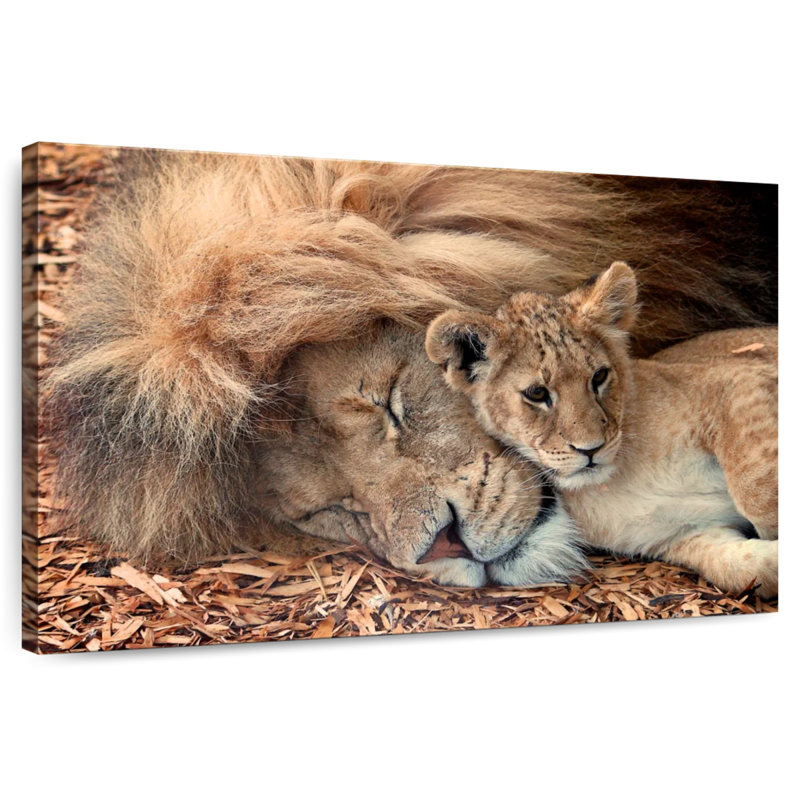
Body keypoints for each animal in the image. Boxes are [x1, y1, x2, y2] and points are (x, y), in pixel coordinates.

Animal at [425, 262, 778, 595]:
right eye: (537, 393)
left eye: (599, 376)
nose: (590, 449)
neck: (613, 481)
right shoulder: (683, 534)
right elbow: (746, 570)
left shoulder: (736, 378)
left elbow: (758, 494)